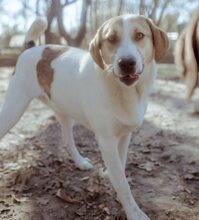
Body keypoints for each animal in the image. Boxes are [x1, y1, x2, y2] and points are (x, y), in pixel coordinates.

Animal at [0, 14, 169, 219]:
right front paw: (133, 212)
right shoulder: (106, 141)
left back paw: (80, 162)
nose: (126, 63)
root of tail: (31, 48)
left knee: (67, 140)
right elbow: (123, 184)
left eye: (139, 35)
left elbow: (120, 168)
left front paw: (111, 179)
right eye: (111, 39)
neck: (123, 90)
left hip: (65, 112)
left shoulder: (124, 136)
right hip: (13, 110)